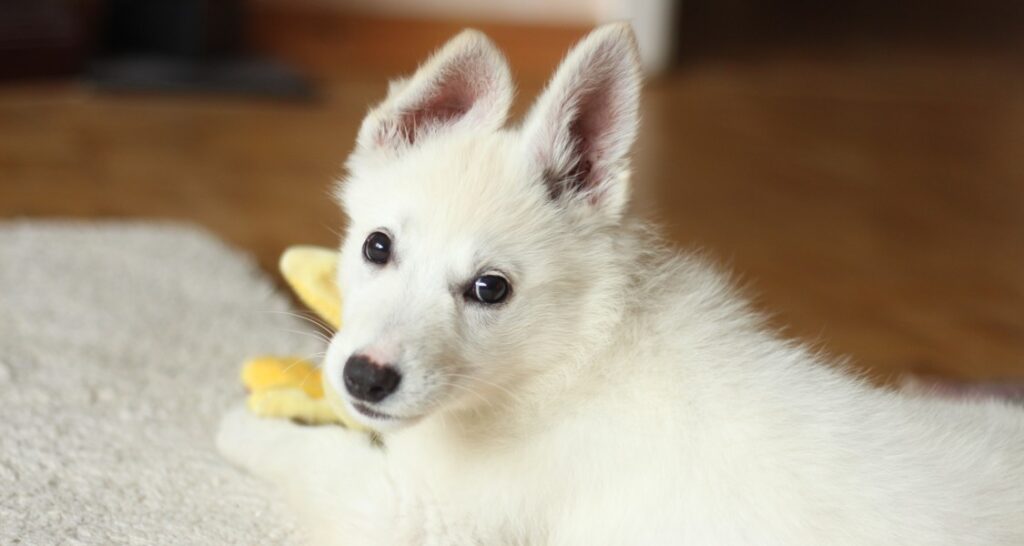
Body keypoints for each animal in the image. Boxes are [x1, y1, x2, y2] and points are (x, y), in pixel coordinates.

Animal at [218, 23, 1024, 540]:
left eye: (489, 290)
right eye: (376, 247)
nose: (364, 378)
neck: (569, 351)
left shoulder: (421, 515)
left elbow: (320, 462)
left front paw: (243, 423)